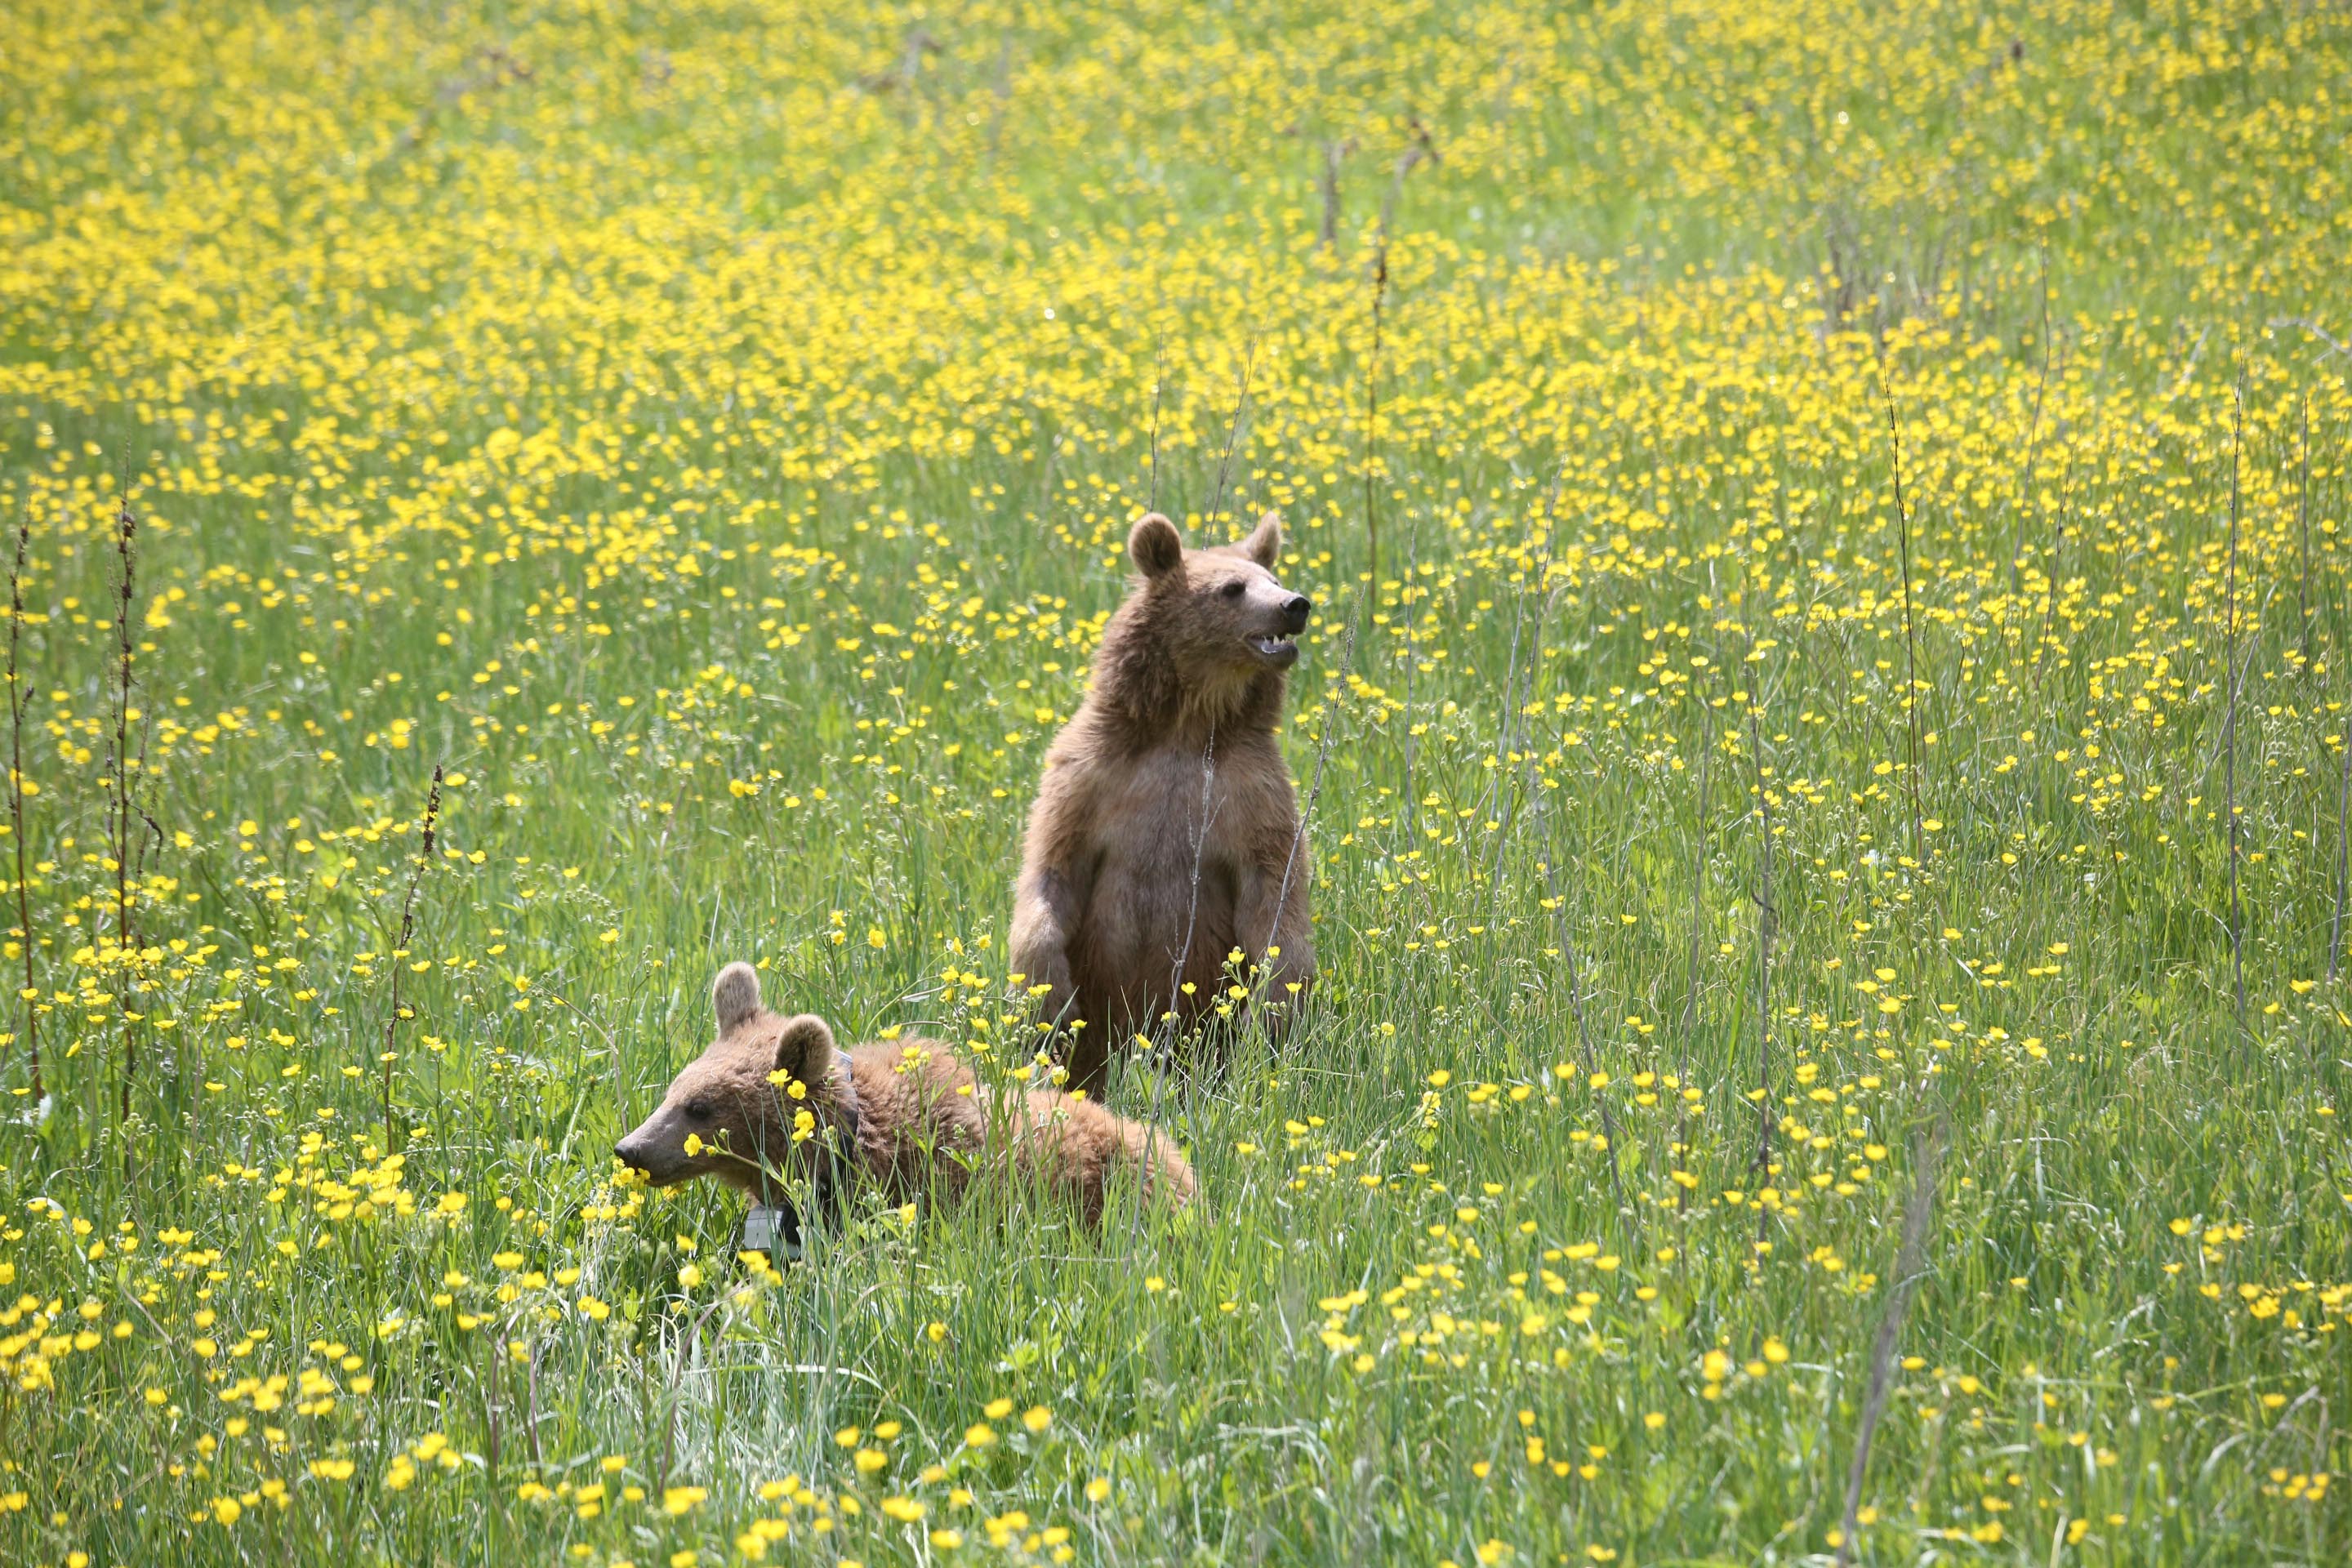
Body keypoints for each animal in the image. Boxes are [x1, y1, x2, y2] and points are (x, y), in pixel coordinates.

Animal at [1001, 510, 1316, 1100]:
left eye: (1273, 577)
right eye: (1233, 588)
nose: (1295, 604)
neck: (1186, 727)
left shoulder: (1250, 792)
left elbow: (1274, 892)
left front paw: (1273, 1011)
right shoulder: (1091, 777)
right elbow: (1053, 868)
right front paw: (1046, 998)